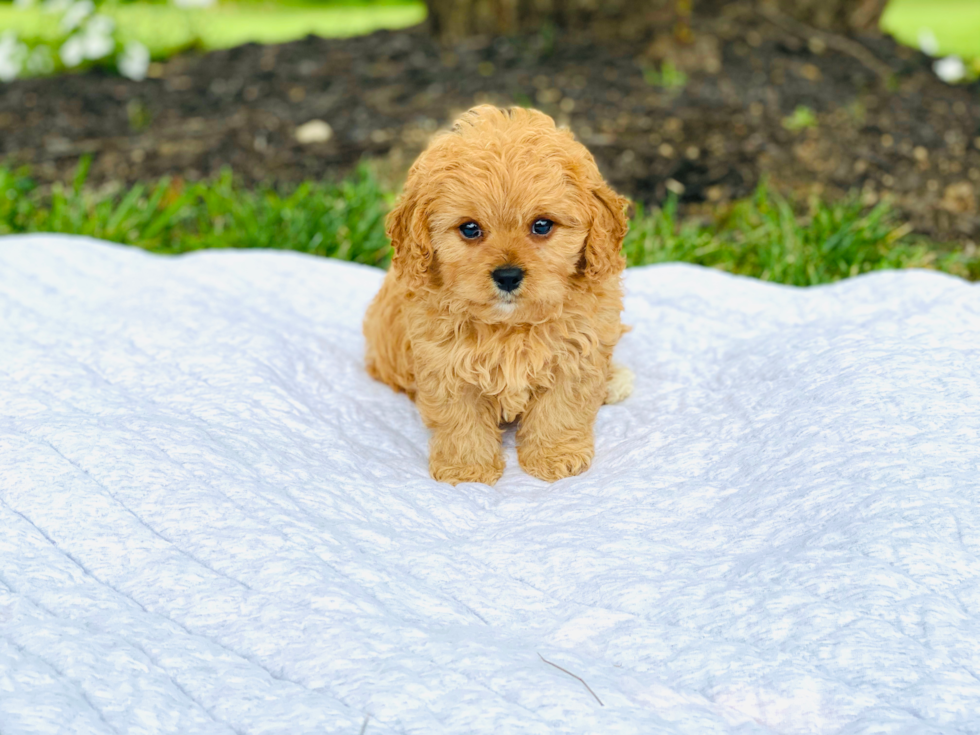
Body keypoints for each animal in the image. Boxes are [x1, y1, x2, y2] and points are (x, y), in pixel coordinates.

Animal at [364, 102, 632, 484]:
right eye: (470, 228)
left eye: (542, 225)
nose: (507, 276)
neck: (511, 326)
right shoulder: (445, 363)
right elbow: (461, 419)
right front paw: (468, 469)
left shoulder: (577, 353)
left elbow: (560, 409)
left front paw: (555, 456)